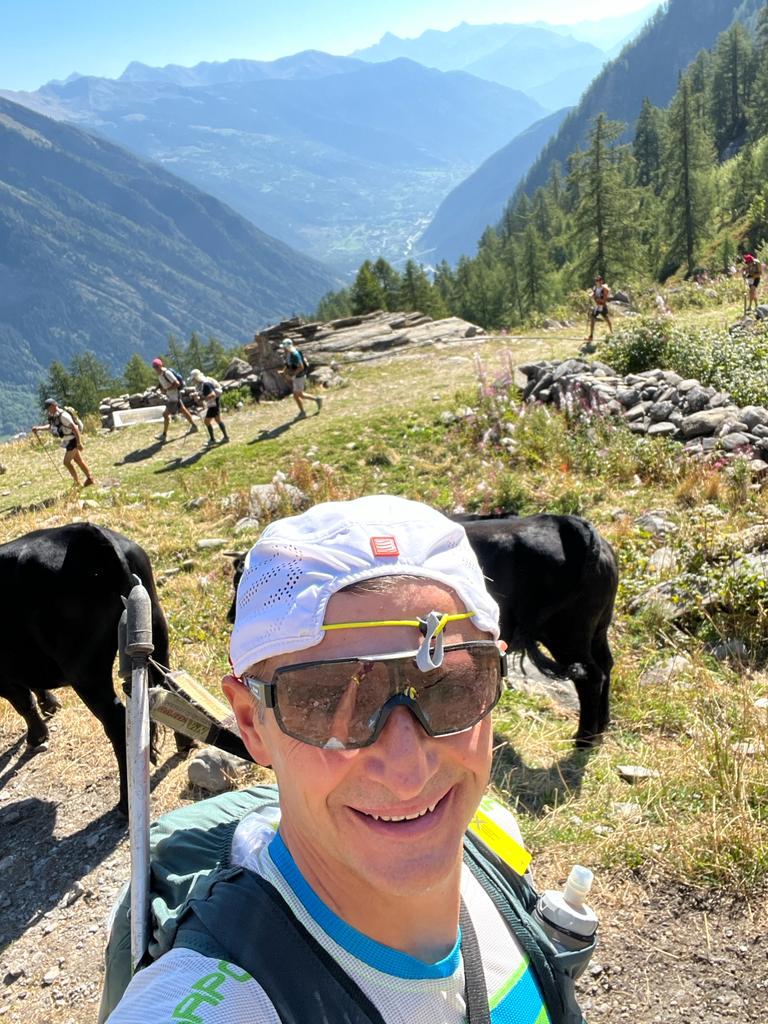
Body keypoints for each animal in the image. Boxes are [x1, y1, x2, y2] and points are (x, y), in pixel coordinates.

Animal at [0, 522, 178, 814]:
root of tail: (87, 533)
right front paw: (50, 705)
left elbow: (23, 702)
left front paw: (37, 736)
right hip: (157, 627)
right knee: (168, 685)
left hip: (86, 673)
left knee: (118, 724)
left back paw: (125, 803)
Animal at [225, 512, 618, 748]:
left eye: (239, 581)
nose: (231, 616)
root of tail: (575, 527)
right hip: (596, 630)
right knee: (606, 667)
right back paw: (602, 727)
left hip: (567, 635)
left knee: (590, 676)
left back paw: (585, 737)